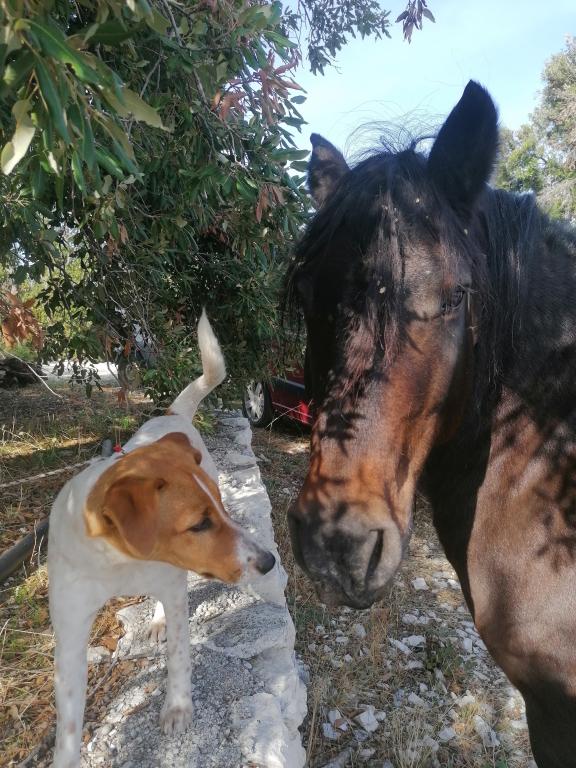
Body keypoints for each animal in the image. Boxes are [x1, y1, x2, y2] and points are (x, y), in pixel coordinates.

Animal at [48, 310, 275, 768]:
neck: (117, 563)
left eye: (217, 512)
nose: (268, 562)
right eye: (199, 524)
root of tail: (172, 416)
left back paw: (156, 620)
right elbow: (68, 726)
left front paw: (177, 707)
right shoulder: (70, 635)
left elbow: (179, 656)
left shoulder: (170, 584)